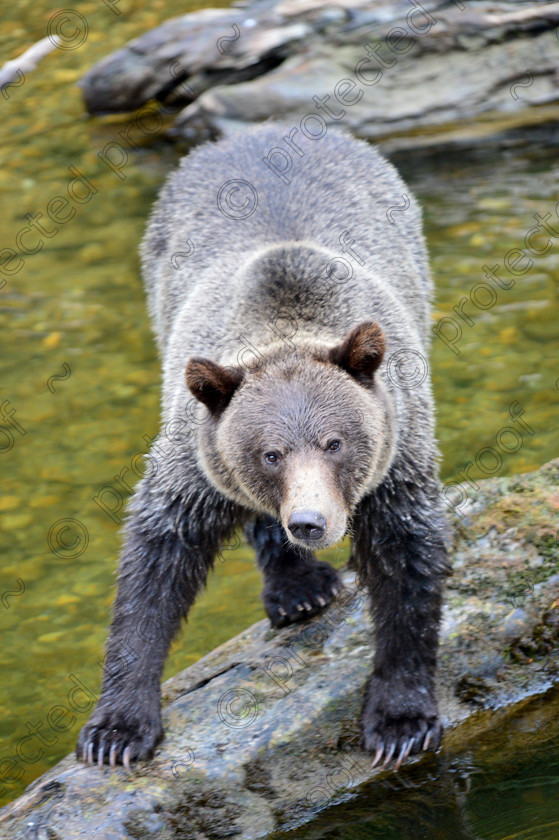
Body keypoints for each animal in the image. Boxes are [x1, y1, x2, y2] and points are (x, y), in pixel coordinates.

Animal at [76, 121, 450, 772]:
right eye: (270, 453)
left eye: (335, 442)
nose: (309, 521)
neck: (284, 326)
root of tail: (260, 131)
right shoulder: (197, 459)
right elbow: (155, 566)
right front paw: (117, 730)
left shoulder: (397, 450)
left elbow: (407, 562)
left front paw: (400, 720)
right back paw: (298, 588)